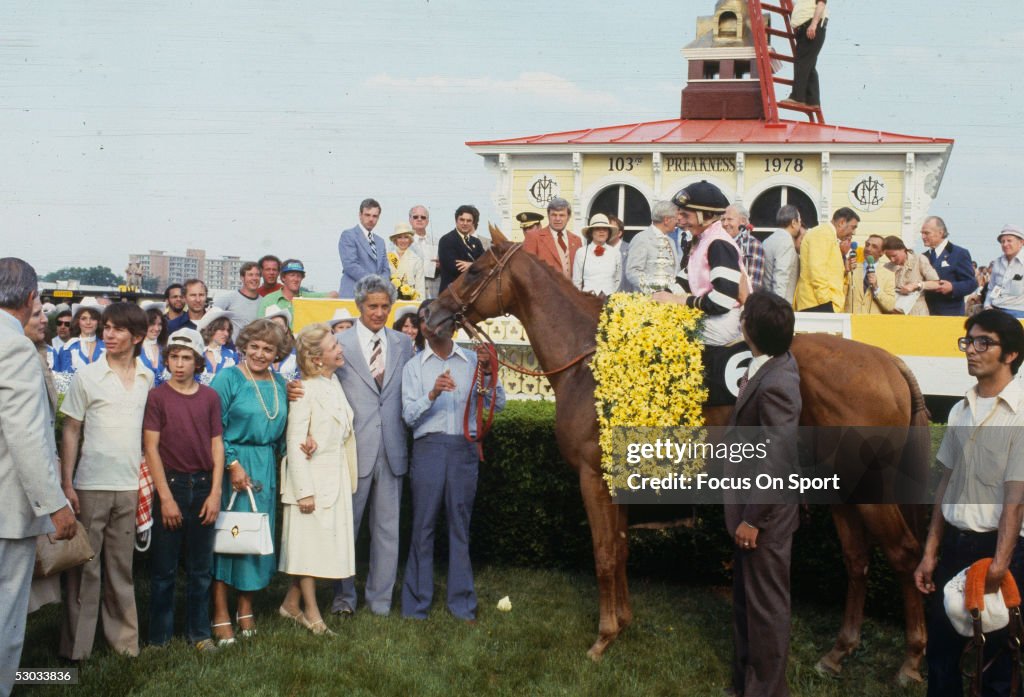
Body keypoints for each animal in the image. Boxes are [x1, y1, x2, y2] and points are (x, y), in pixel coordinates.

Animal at [423, 229, 929, 683]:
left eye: (475, 272)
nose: (429, 313)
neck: (588, 359)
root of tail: (890, 362)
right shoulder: (618, 478)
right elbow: (621, 549)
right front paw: (623, 624)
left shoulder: (593, 476)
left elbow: (604, 553)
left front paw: (603, 637)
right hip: (842, 489)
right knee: (857, 560)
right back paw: (839, 652)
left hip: (872, 489)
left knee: (904, 555)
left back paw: (910, 661)